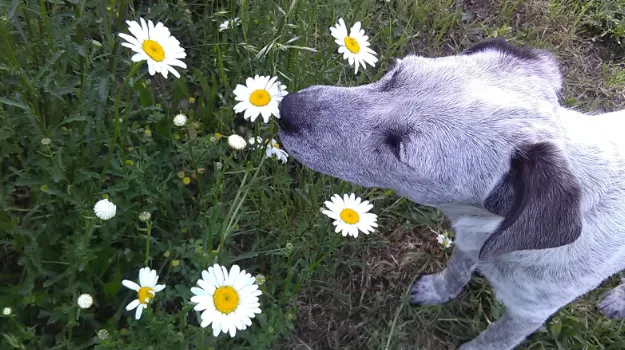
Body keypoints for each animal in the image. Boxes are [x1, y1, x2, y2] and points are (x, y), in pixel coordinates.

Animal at [278, 37, 625, 348]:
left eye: (399, 148)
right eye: (394, 76)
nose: (284, 108)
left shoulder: (528, 314)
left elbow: (491, 341)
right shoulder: (468, 244)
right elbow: (456, 272)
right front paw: (436, 291)